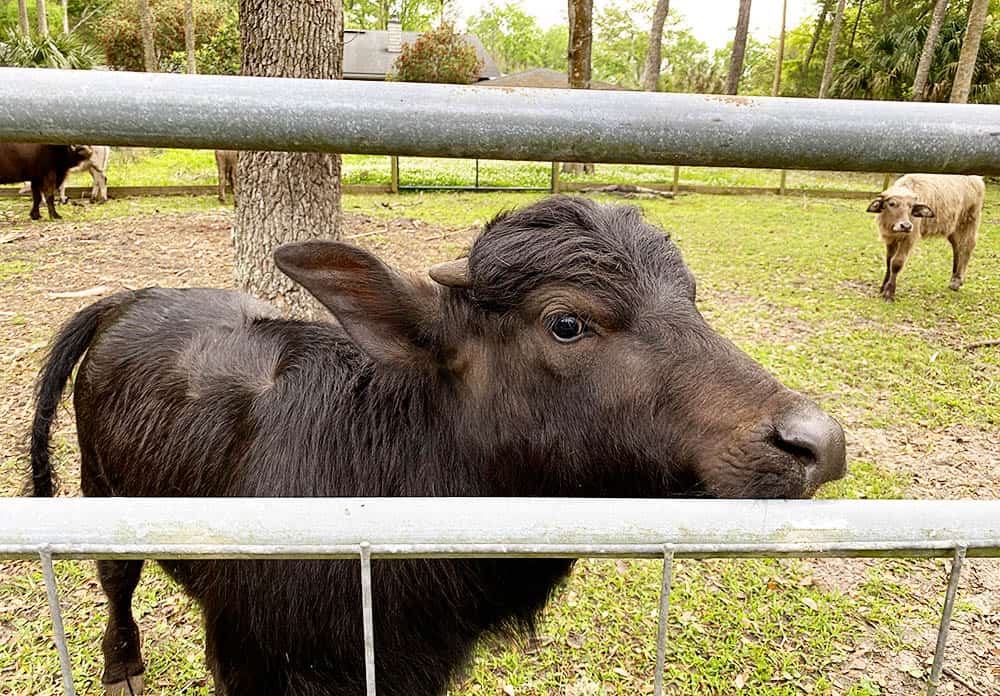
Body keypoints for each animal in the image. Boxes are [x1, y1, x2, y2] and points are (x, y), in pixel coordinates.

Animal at [31, 196, 844, 696]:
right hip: (100, 493)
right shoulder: (248, 657)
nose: (818, 442)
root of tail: (131, 298)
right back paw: (122, 665)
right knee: (115, 583)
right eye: (567, 323)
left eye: (693, 299)